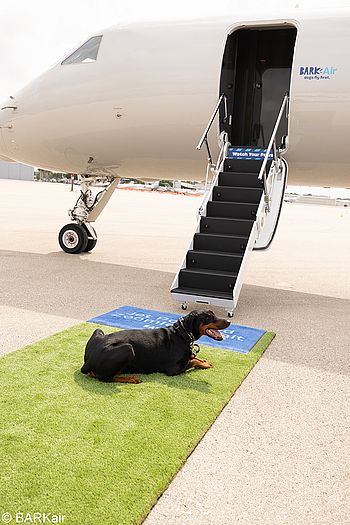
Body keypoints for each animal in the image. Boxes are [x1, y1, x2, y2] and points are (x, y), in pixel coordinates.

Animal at [80, 310, 231, 382]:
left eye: (213, 313)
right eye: (208, 317)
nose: (229, 321)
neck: (182, 334)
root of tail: (87, 361)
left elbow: (193, 357)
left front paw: (204, 361)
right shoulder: (173, 369)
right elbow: (192, 361)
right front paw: (203, 363)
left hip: (99, 331)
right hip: (128, 348)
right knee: (103, 377)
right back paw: (131, 378)